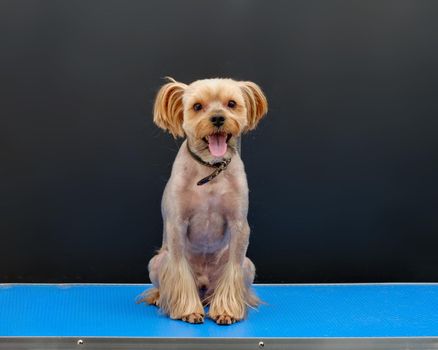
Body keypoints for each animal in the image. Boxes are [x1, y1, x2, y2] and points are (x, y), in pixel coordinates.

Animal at [140, 77, 268, 326]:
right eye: (197, 106)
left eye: (231, 103)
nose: (218, 118)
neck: (210, 168)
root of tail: (204, 286)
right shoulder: (177, 224)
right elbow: (179, 271)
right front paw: (188, 310)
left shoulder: (239, 225)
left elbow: (233, 269)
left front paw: (227, 310)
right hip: (157, 262)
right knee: (166, 281)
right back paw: (161, 298)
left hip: (249, 266)